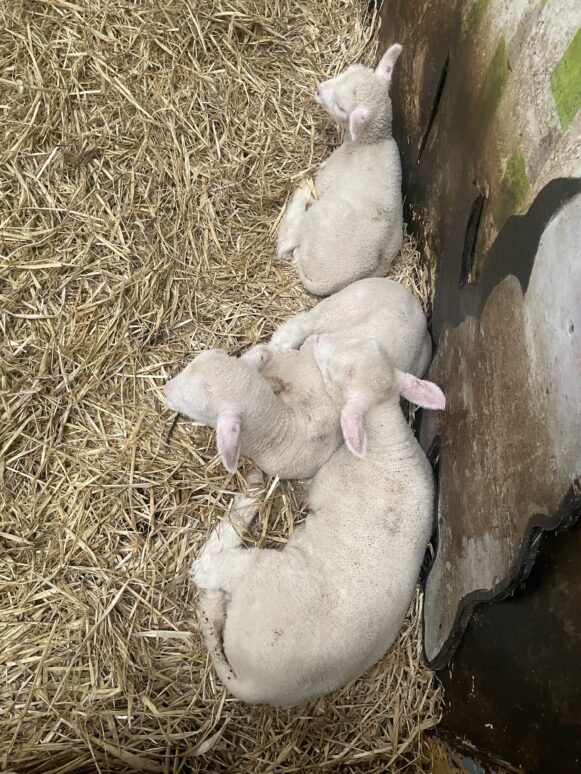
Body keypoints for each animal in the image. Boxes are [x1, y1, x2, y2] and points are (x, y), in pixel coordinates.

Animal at [163, 277, 430, 479]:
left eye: (193, 407)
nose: (165, 389)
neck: (283, 425)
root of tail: (410, 297)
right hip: (341, 302)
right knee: (303, 325)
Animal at [192, 334, 445, 707]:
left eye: (339, 372)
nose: (320, 339)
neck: (386, 442)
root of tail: (253, 685)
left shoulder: (325, 483)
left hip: (258, 572)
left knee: (207, 566)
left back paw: (249, 492)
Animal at [277, 45, 404, 296]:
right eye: (349, 69)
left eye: (340, 107)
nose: (318, 89)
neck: (373, 141)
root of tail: (327, 282)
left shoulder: (330, 174)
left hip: (315, 219)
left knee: (288, 240)